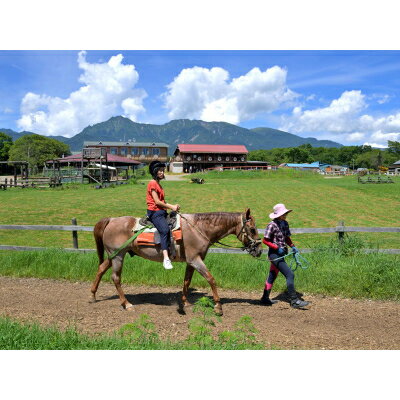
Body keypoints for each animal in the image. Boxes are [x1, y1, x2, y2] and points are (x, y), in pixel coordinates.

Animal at [90, 208, 262, 314]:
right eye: (253, 229)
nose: (259, 250)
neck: (199, 228)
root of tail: (111, 220)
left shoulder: (191, 262)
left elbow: (187, 281)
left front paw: (185, 303)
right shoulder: (196, 260)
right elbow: (211, 279)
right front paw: (218, 307)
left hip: (114, 255)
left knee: (101, 268)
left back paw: (92, 295)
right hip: (118, 256)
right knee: (115, 278)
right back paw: (126, 304)